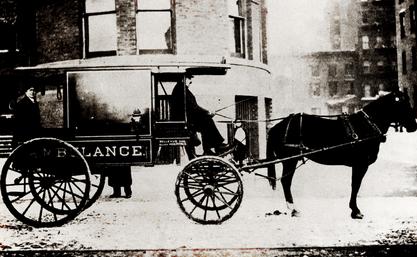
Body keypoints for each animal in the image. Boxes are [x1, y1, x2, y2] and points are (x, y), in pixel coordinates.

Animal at [266, 90, 416, 218]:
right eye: (403, 104)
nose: (413, 126)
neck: (366, 125)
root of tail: (275, 127)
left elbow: (355, 185)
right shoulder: (360, 164)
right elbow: (355, 185)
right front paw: (355, 210)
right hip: (289, 160)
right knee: (286, 181)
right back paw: (293, 208)